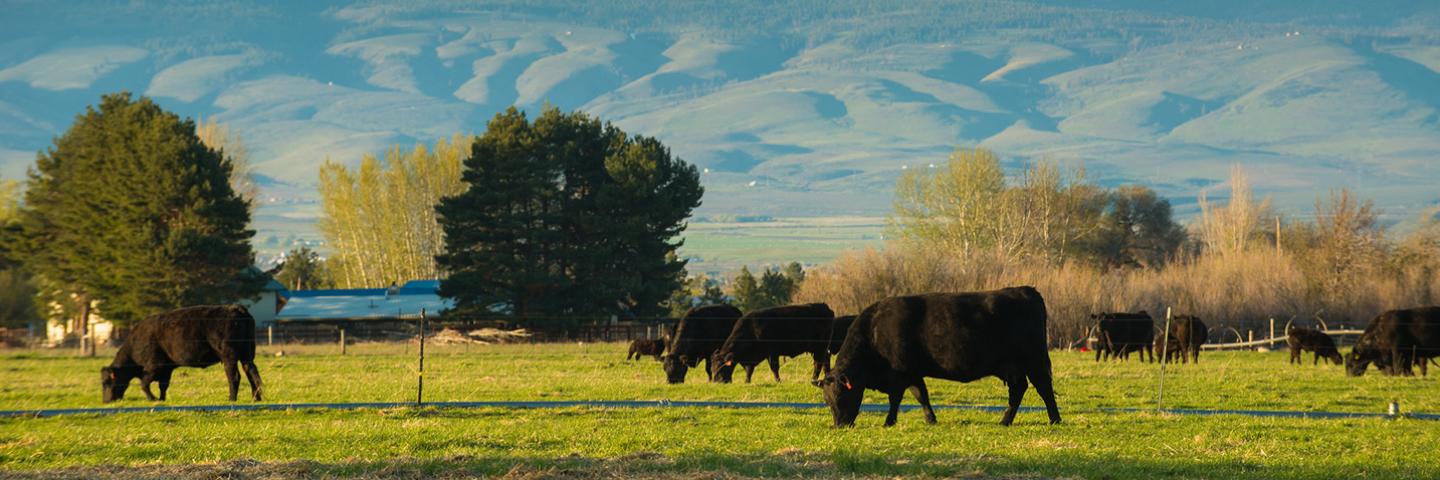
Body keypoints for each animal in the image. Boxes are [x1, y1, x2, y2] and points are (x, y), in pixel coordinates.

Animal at [101, 304, 262, 400]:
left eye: (107, 382)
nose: (106, 401)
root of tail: (235, 308)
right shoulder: (166, 369)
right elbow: (163, 386)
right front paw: (162, 400)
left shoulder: (154, 366)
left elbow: (144, 384)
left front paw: (152, 399)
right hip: (247, 355)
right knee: (251, 372)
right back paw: (256, 398)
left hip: (229, 356)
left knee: (234, 377)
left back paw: (232, 399)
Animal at [817, 285, 1065, 423]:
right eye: (827, 400)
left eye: (840, 395)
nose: (840, 424)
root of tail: (1026, 290)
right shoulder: (913, 373)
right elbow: (921, 396)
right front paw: (931, 419)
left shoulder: (900, 373)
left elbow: (896, 398)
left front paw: (889, 421)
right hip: (1013, 367)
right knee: (1019, 390)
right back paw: (1005, 420)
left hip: (1034, 360)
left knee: (1044, 388)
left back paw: (1055, 419)